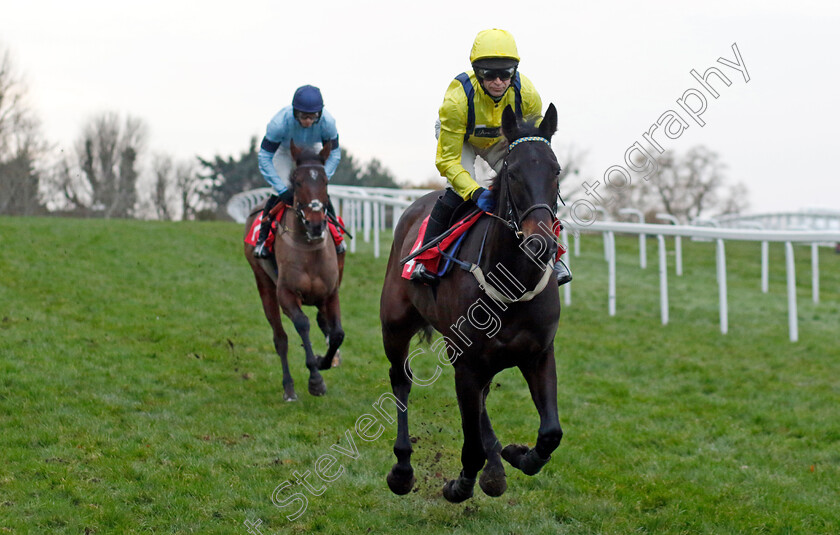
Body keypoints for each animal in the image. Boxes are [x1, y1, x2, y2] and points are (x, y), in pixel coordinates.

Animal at [243, 142, 344, 402]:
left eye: (325, 182)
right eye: (297, 182)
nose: (316, 224)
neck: (310, 249)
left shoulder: (331, 293)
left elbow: (337, 333)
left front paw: (325, 360)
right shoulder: (286, 293)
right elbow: (302, 324)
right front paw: (315, 379)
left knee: (323, 322)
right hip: (264, 285)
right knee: (280, 338)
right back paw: (289, 388)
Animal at [380, 103, 564, 502]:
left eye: (556, 170)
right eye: (513, 172)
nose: (540, 243)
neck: (511, 284)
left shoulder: (539, 354)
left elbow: (550, 433)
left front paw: (517, 455)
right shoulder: (465, 364)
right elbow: (472, 447)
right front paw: (460, 484)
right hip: (395, 324)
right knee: (401, 380)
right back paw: (402, 469)